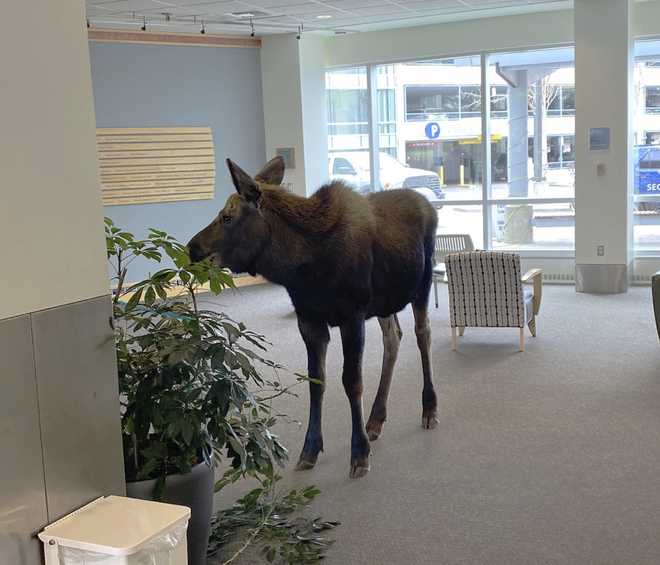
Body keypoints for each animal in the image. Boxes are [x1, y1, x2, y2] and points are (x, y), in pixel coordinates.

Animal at [188, 155, 438, 476]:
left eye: (227, 217)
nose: (192, 248)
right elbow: (316, 382)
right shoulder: (309, 320)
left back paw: (429, 408)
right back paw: (376, 419)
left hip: (422, 283)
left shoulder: (352, 315)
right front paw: (310, 449)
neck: (302, 268)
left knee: (423, 334)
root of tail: (428, 203)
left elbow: (351, 381)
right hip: (385, 302)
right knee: (393, 338)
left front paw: (359, 453)